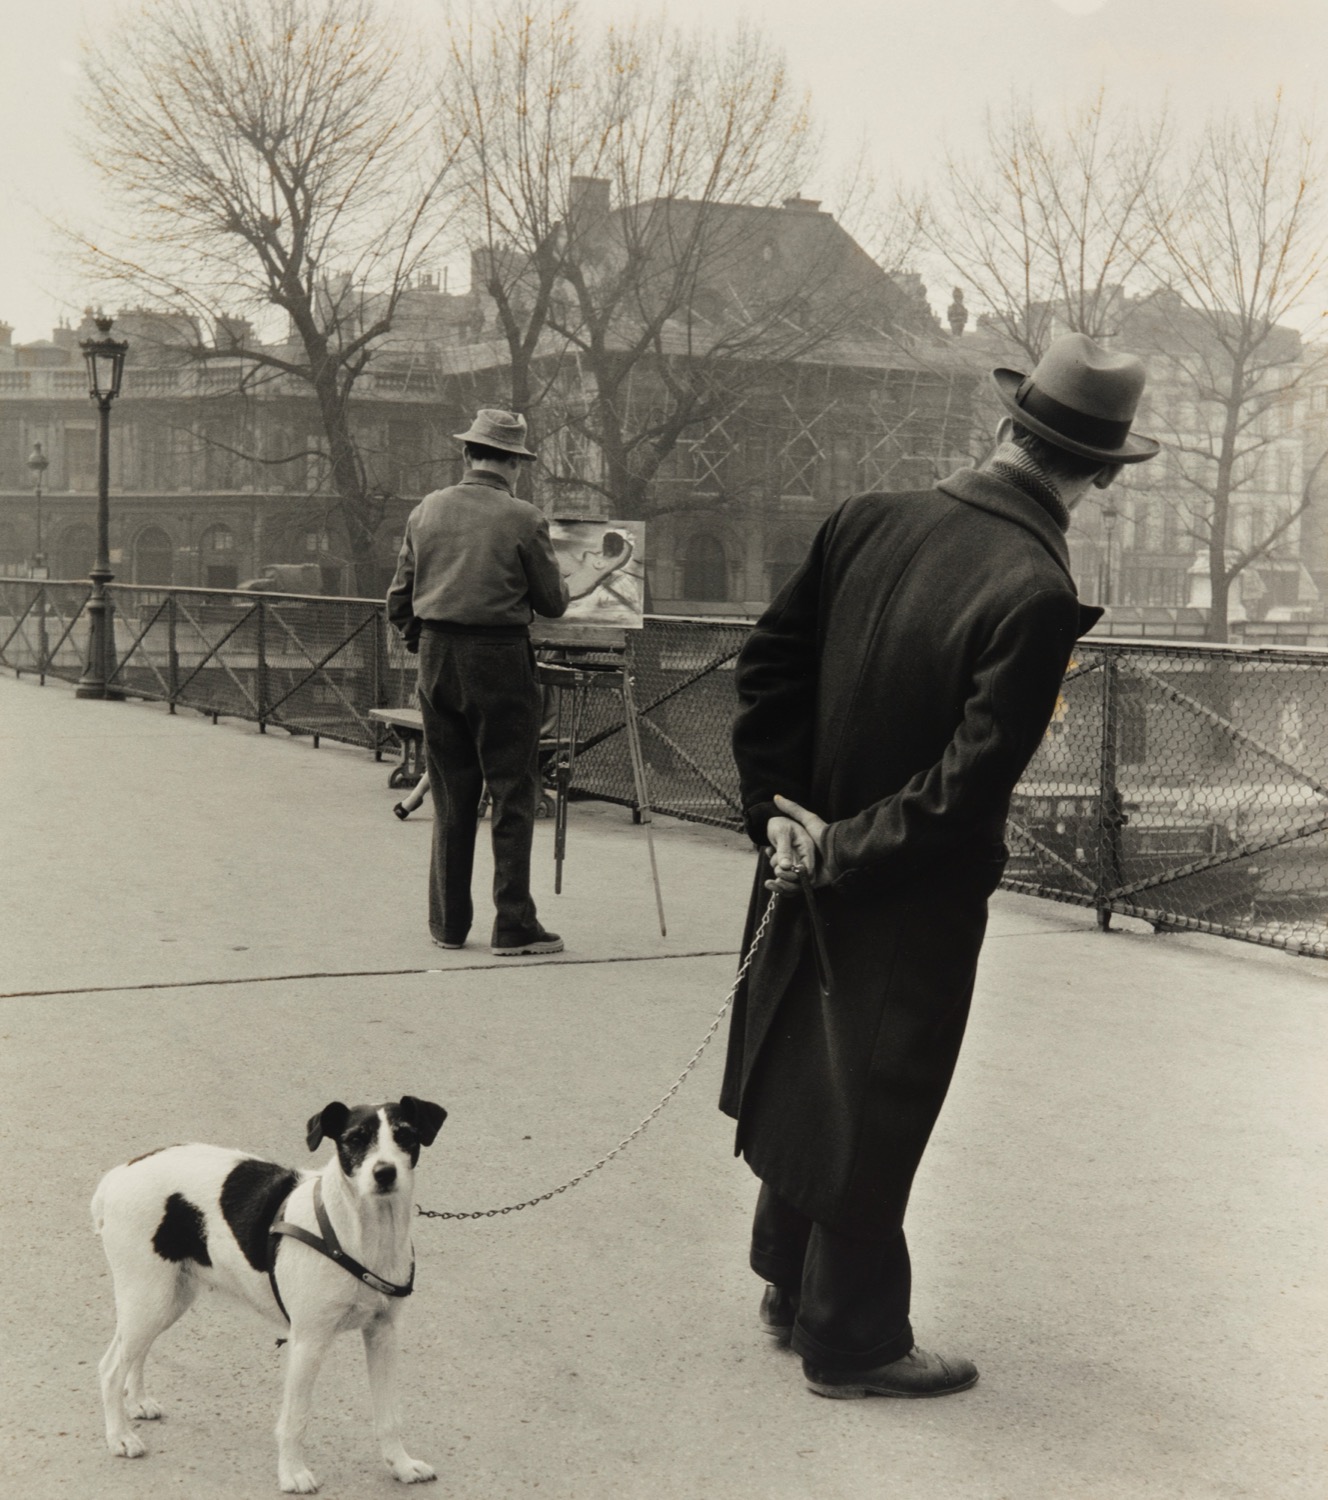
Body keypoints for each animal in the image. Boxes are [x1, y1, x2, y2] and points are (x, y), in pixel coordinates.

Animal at [91, 1095, 447, 1494]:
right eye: (355, 1139)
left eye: (405, 1135)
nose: (385, 1173)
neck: (362, 1236)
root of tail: (119, 1175)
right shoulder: (308, 1341)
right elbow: (296, 1419)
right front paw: (292, 1473)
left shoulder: (382, 1334)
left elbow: (389, 1415)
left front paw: (401, 1465)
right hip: (148, 1298)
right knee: (110, 1368)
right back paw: (120, 1437)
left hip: (167, 1299)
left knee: (133, 1353)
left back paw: (136, 1402)